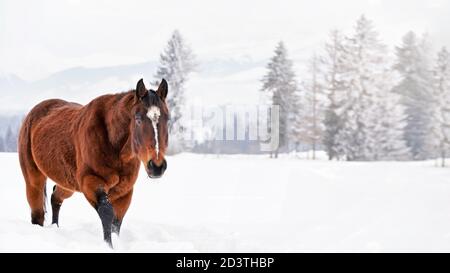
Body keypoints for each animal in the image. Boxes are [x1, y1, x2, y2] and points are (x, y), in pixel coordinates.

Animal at [17, 78, 169, 246]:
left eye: (167, 119)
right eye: (138, 119)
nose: (156, 166)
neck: (113, 146)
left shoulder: (124, 191)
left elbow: (116, 222)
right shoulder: (90, 182)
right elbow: (107, 212)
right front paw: (108, 246)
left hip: (67, 183)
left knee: (56, 197)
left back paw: (55, 226)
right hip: (34, 180)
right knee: (37, 213)